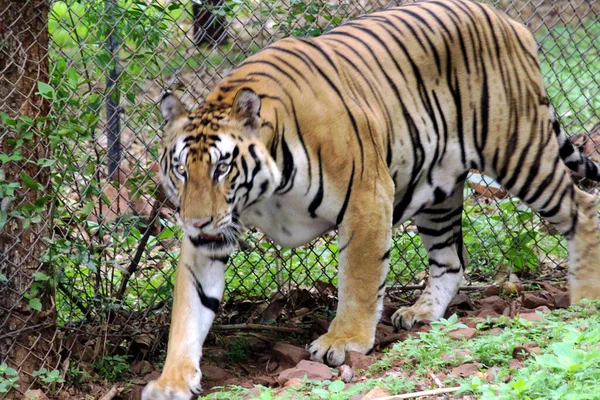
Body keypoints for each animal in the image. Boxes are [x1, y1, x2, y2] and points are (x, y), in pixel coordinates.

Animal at [143, 1, 600, 398]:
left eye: (222, 168)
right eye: (181, 170)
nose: (196, 222)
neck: (262, 192)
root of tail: (510, 22)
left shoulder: (367, 196)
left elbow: (359, 280)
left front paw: (343, 341)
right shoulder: (212, 237)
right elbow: (189, 310)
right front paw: (172, 380)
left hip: (520, 152)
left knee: (583, 208)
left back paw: (584, 301)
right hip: (438, 187)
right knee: (451, 260)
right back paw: (421, 313)